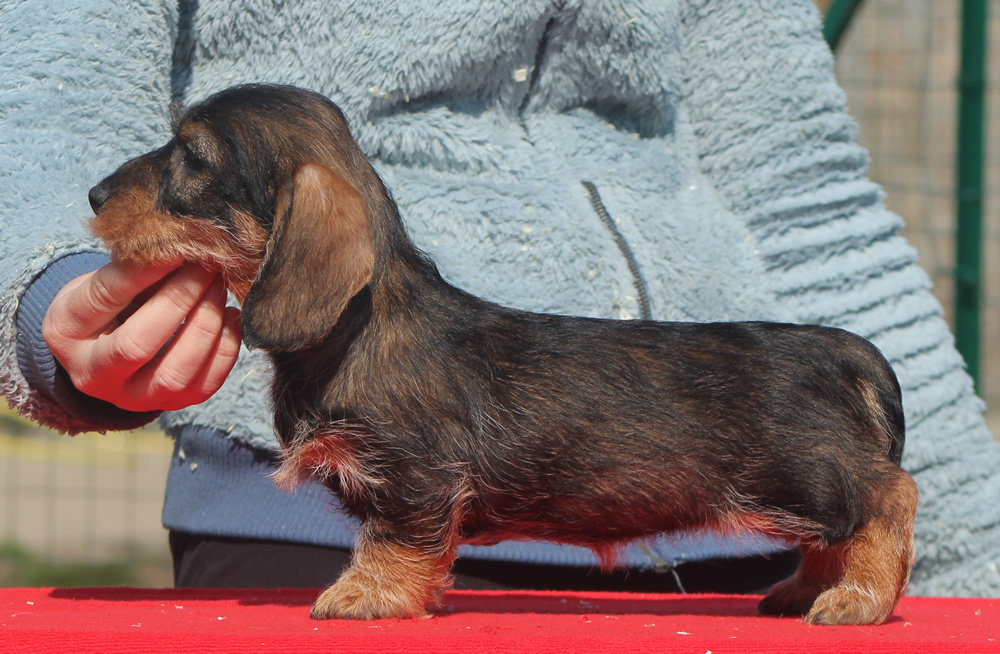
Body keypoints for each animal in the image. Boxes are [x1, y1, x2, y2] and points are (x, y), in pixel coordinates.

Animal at [90, 84, 916, 628]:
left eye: (191, 158)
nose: (94, 194)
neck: (362, 327)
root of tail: (846, 351)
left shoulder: (413, 477)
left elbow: (392, 539)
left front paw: (368, 593)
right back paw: (804, 591)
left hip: (807, 472)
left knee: (889, 498)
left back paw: (858, 599)